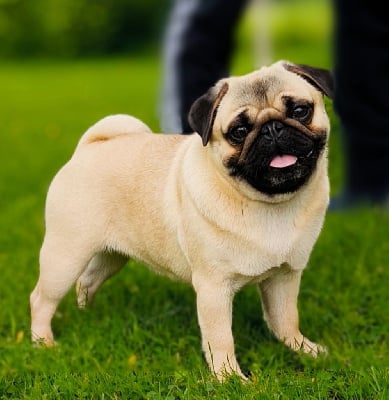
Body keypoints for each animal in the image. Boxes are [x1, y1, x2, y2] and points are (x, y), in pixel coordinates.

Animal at [31, 61, 334, 380]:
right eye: (239, 132)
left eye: (300, 111)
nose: (272, 128)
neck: (270, 204)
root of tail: (87, 148)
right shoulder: (214, 288)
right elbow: (221, 338)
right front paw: (230, 378)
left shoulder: (285, 275)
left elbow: (285, 319)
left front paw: (303, 349)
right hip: (66, 256)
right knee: (41, 299)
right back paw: (43, 342)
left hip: (110, 256)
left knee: (89, 279)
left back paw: (85, 309)